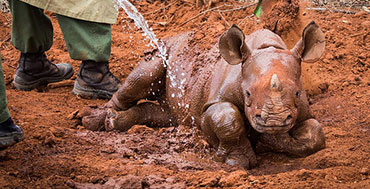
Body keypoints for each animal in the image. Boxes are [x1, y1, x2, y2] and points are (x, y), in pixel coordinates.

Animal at [81, 21, 326, 168]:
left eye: (297, 93)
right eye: (247, 93)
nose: (274, 122)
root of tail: (177, 34)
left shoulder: (302, 112)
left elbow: (315, 133)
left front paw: (271, 140)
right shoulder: (211, 104)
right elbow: (228, 119)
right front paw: (237, 161)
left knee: (168, 115)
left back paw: (113, 121)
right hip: (164, 48)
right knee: (144, 75)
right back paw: (94, 120)